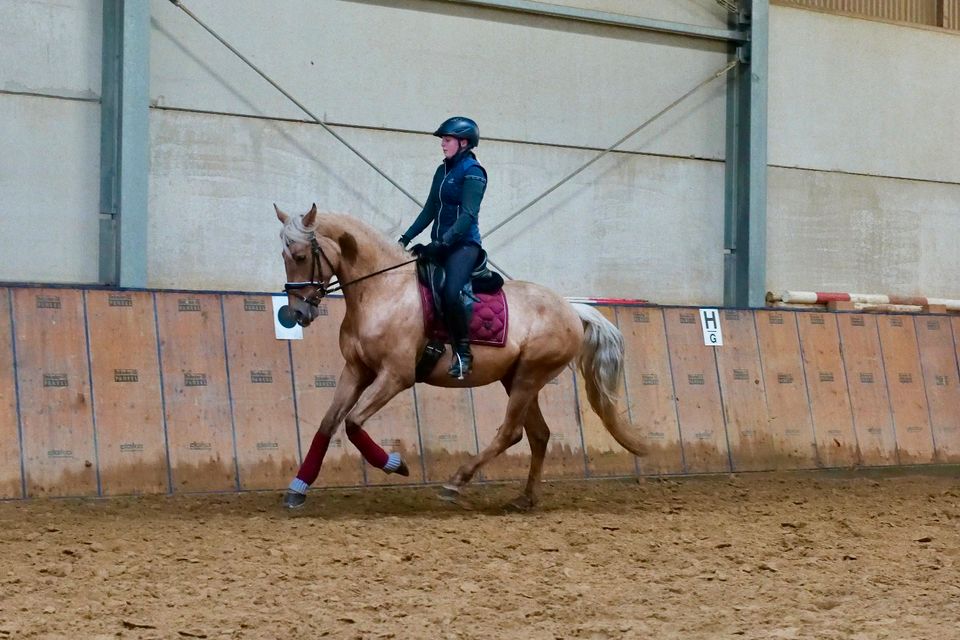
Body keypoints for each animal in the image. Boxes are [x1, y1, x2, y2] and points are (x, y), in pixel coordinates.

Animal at [274, 205, 644, 510]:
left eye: (301, 255)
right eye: (284, 256)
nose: (297, 313)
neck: (382, 290)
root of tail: (571, 308)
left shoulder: (395, 376)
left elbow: (352, 423)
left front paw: (396, 465)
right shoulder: (356, 370)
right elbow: (328, 424)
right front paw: (298, 488)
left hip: (529, 376)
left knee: (511, 433)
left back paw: (455, 483)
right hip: (517, 379)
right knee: (538, 435)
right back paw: (524, 498)